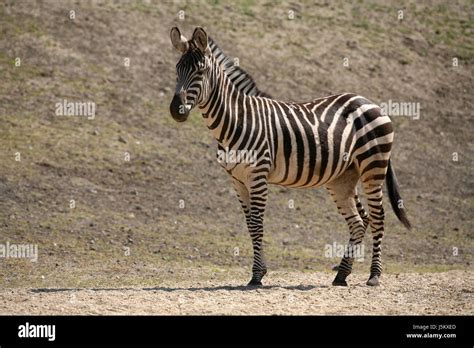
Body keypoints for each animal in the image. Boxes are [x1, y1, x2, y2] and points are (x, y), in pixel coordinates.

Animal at [168, 27, 410, 286]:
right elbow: (250, 224)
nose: (175, 110)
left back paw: (374, 276)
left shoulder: (258, 175)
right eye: (177, 69)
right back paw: (341, 275)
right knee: (359, 221)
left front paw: (256, 276)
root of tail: (369, 102)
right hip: (343, 177)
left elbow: (257, 223)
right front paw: (260, 272)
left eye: (200, 71)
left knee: (378, 216)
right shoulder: (237, 179)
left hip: (373, 166)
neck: (236, 120)